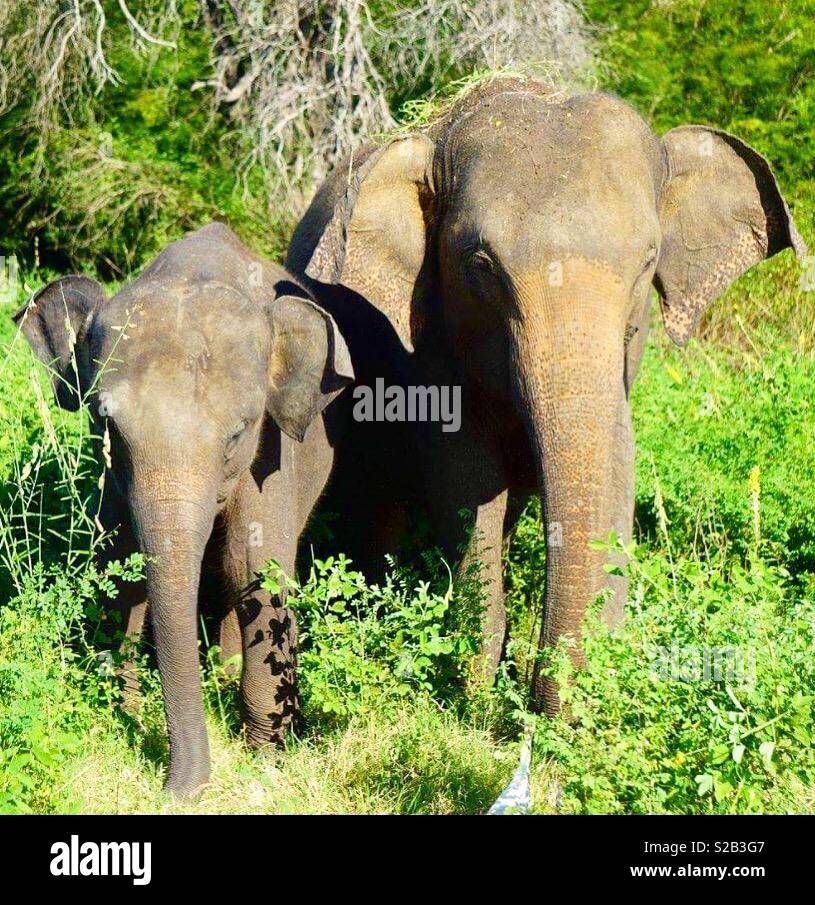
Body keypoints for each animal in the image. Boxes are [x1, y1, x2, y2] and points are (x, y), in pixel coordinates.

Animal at [13, 222, 354, 796]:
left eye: (238, 432)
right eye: (107, 425)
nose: (175, 790)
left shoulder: (271, 460)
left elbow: (256, 573)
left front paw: (266, 760)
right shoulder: (112, 481)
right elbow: (119, 569)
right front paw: (122, 717)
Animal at [287, 76, 807, 714]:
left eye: (649, 262)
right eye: (481, 265)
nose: (537, 701)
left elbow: (616, 470)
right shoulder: (427, 341)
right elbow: (465, 481)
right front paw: (478, 697)